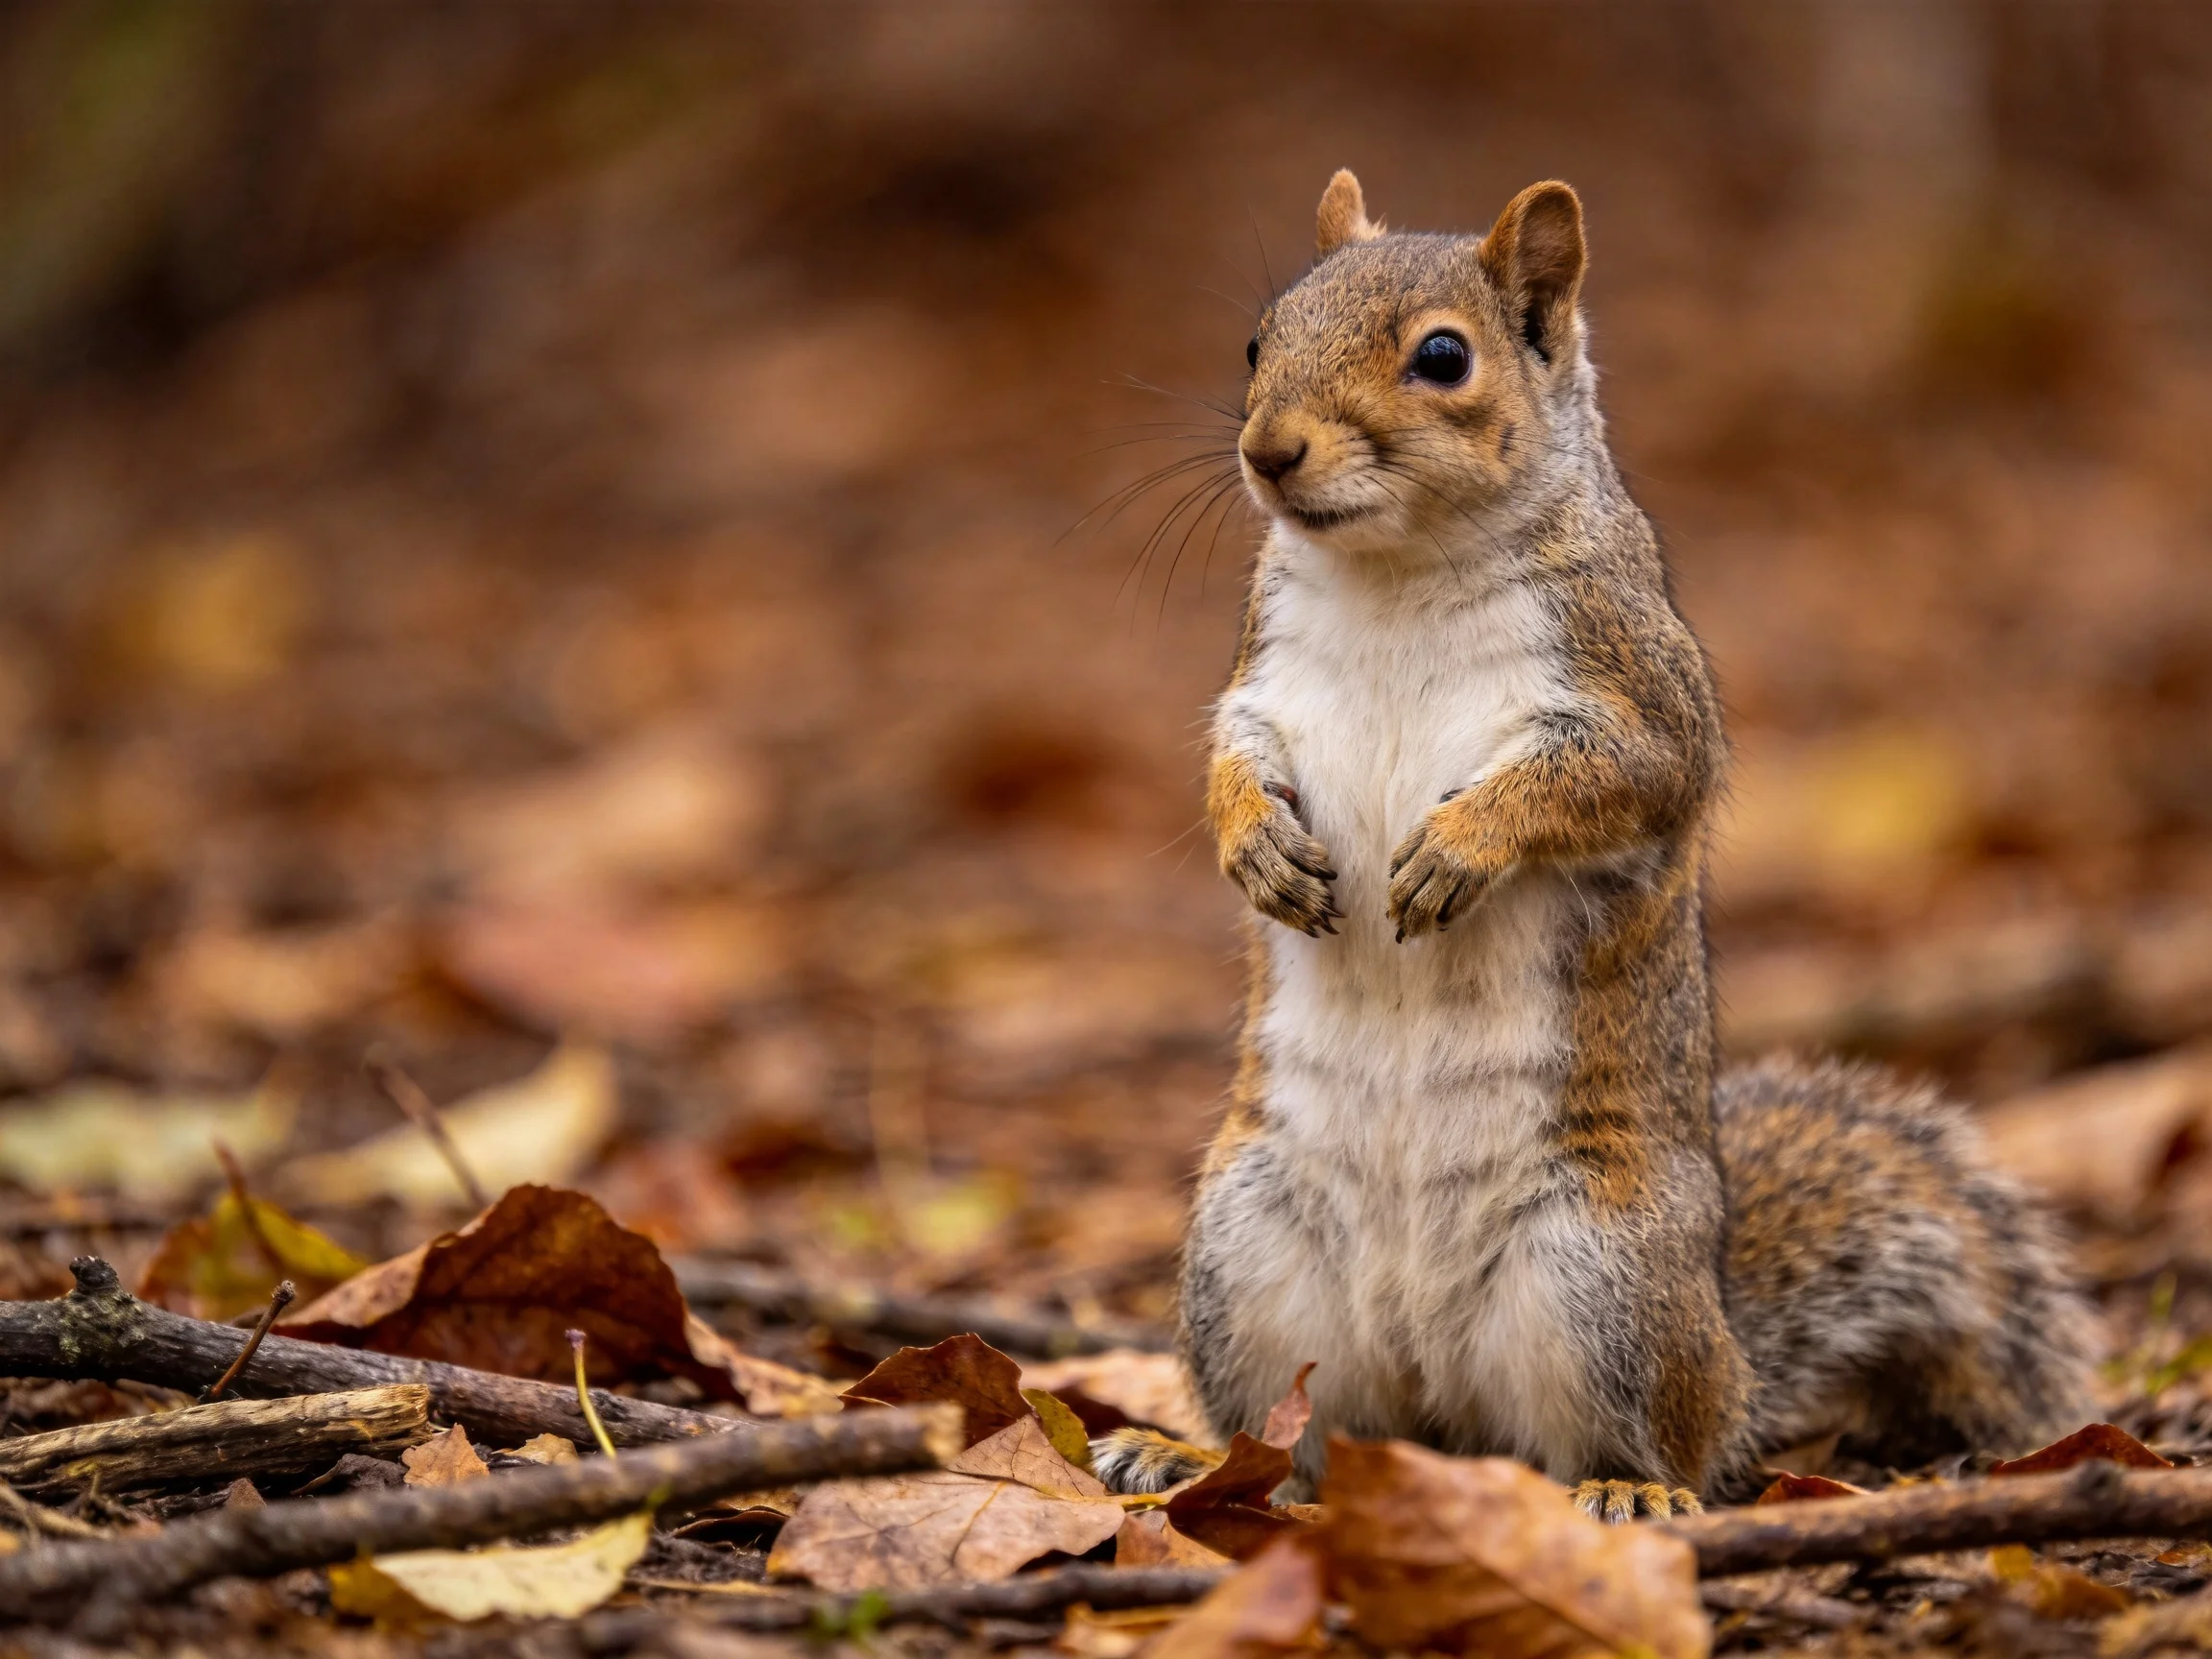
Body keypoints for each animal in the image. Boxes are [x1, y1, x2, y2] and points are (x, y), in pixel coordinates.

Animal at [1091, 172, 2095, 1519]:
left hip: (1600, 1279)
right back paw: (1189, 1460)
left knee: (1650, 1441)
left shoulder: (1636, 685)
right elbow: (1228, 760)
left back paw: (1632, 1491)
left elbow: (1614, 778)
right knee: (1293, 1438)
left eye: (1443, 357)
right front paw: (1256, 850)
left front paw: (1462, 847)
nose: (1268, 450)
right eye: (1258, 340)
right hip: (1248, 1257)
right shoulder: (1263, 679)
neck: (1396, 571)